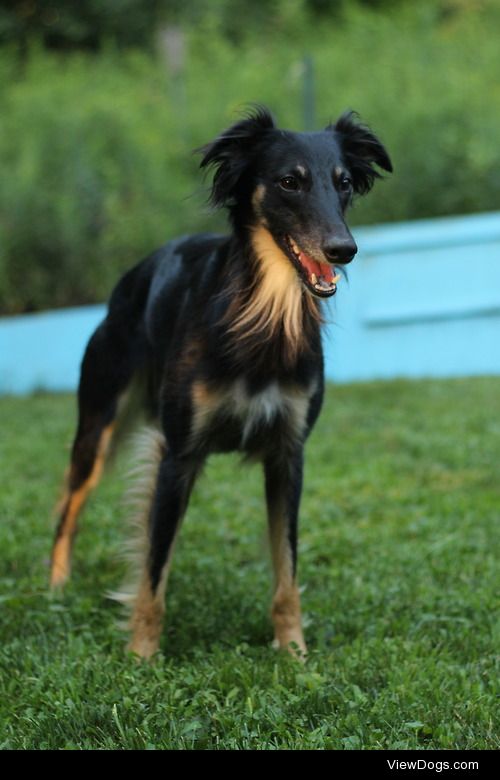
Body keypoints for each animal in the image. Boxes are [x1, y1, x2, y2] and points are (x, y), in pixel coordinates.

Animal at [50, 106, 392, 660]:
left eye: (343, 183)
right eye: (289, 182)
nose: (343, 250)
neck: (264, 310)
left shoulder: (288, 455)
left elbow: (286, 572)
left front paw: (294, 654)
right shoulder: (178, 454)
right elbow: (153, 571)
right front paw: (142, 656)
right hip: (98, 422)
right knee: (69, 504)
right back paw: (56, 584)